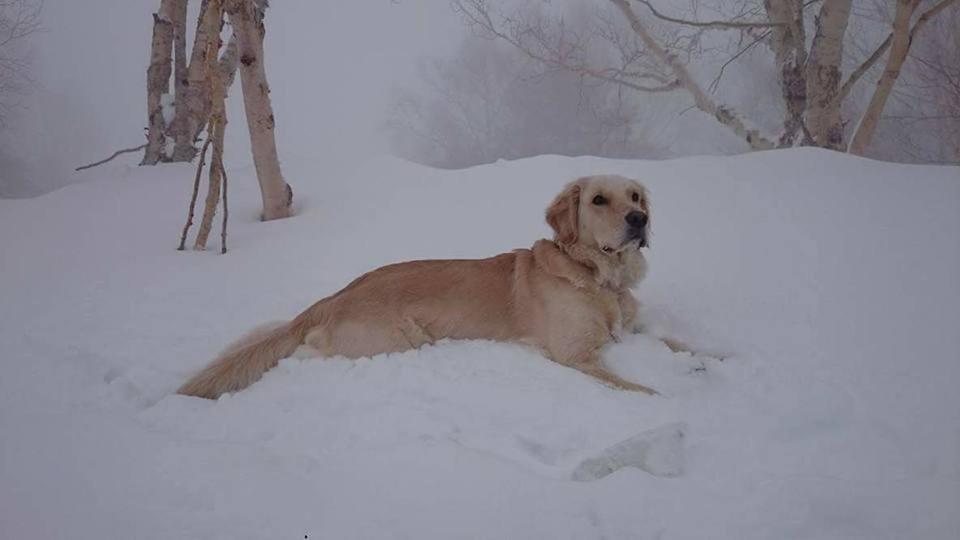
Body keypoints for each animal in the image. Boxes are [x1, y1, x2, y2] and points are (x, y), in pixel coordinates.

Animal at [178, 175, 660, 398]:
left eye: (635, 196)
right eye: (598, 200)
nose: (640, 220)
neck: (601, 278)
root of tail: (332, 298)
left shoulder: (633, 329)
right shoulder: (574, 355)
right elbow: (641, 389)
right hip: (396, 339)